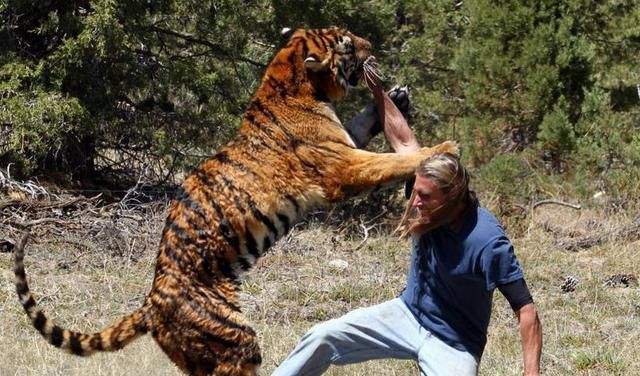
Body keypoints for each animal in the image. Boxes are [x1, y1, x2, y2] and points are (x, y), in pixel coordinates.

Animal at [12, 27, 458, 376]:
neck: (290, 80)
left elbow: (365, 125)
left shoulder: (344, 145)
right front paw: (443, 147)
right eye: (347, 43)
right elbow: (390, 162)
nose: (372, 48)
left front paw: (396, 99)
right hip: (234, 340)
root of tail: (152, 303)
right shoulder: (341, 167)